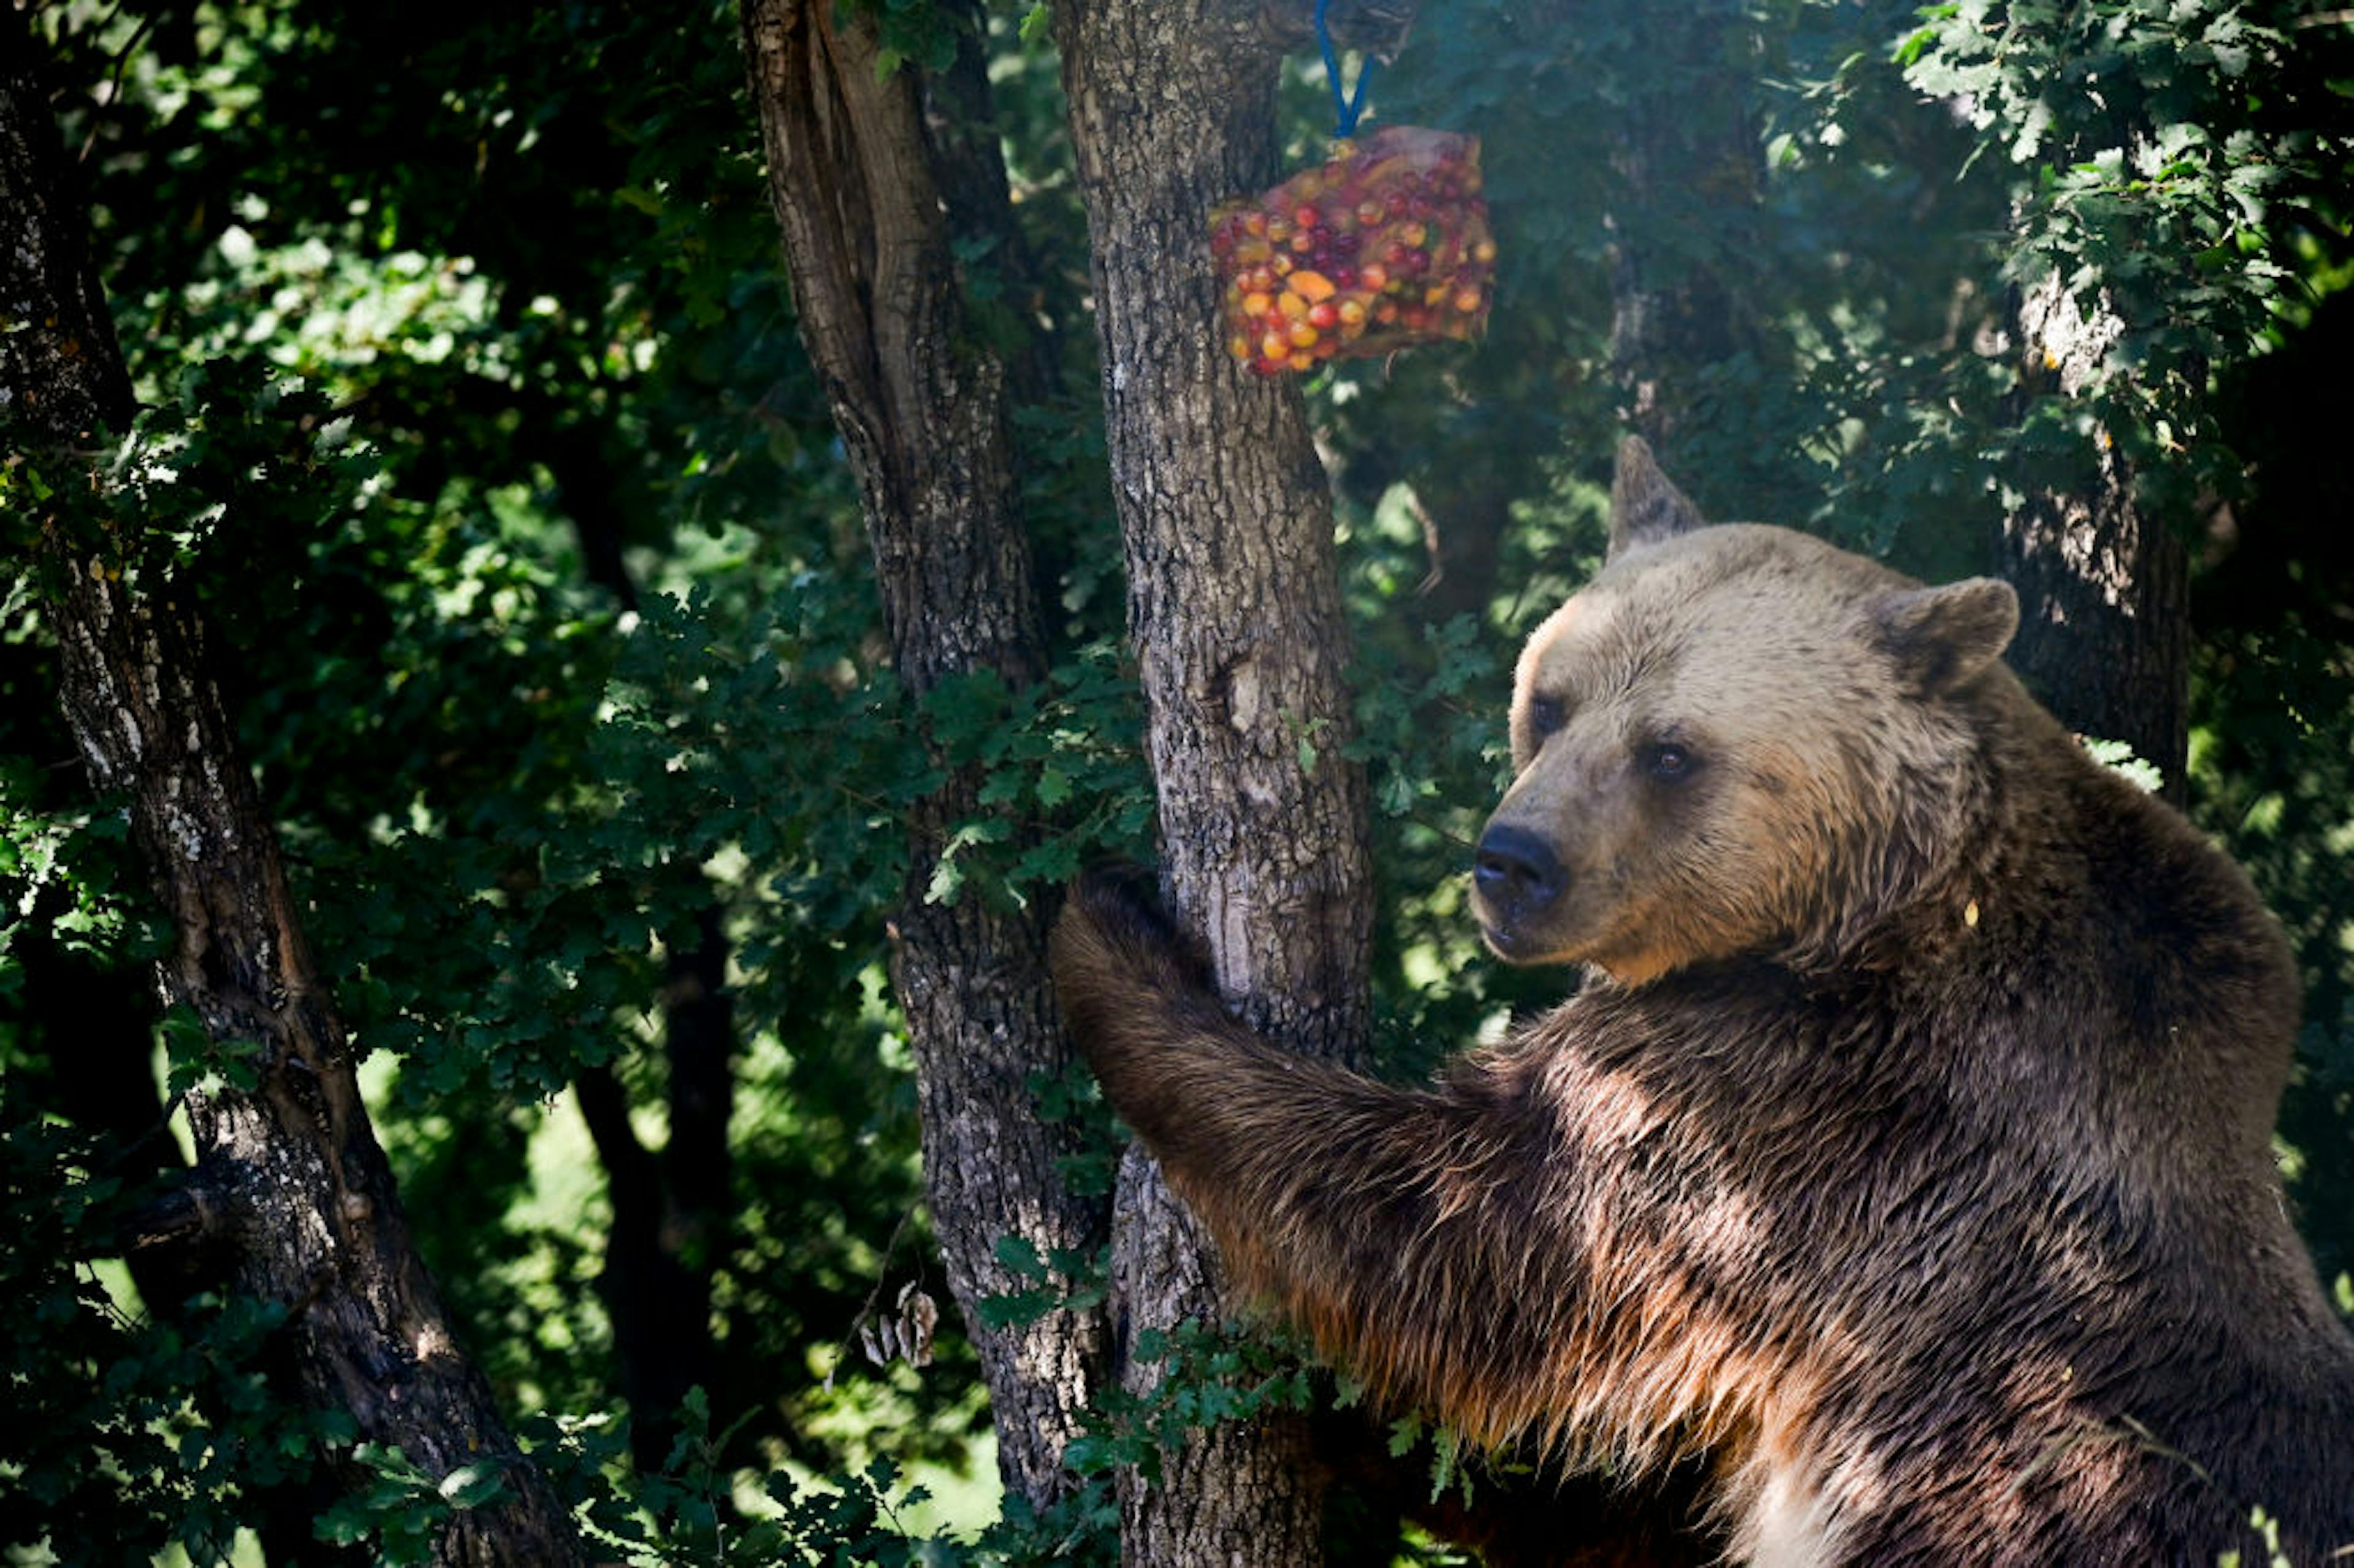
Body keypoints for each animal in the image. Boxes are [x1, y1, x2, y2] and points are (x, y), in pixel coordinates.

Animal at [1049, 437, 2354, 1566]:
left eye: (1671, 751)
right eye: (1551, 698)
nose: (1513, 860)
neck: (1861, 905)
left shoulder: (1802, 1120)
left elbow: (1468, 1230)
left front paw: (1114, 935)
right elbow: (1634, 1492)